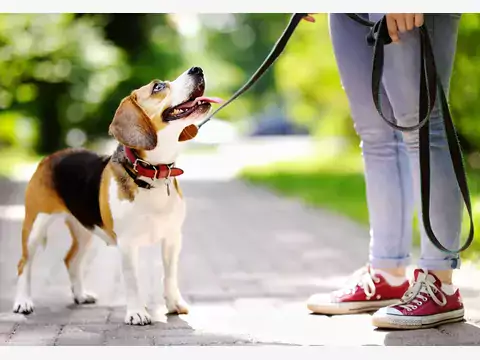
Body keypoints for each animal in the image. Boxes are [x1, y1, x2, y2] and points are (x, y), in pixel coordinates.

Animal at [12, 66, 220, 324]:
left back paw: (80, 295)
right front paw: (137, 313)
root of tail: (51, 157)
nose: (197, 69)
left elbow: (169, 275)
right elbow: (132, 280)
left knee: (71, 260)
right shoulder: (128, 243)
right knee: (24, 263)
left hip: (86, 230)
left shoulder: (172, 238)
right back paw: (23, 302)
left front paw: (174, 304)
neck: (152, 174)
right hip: (35, 226)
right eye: (158, 87)